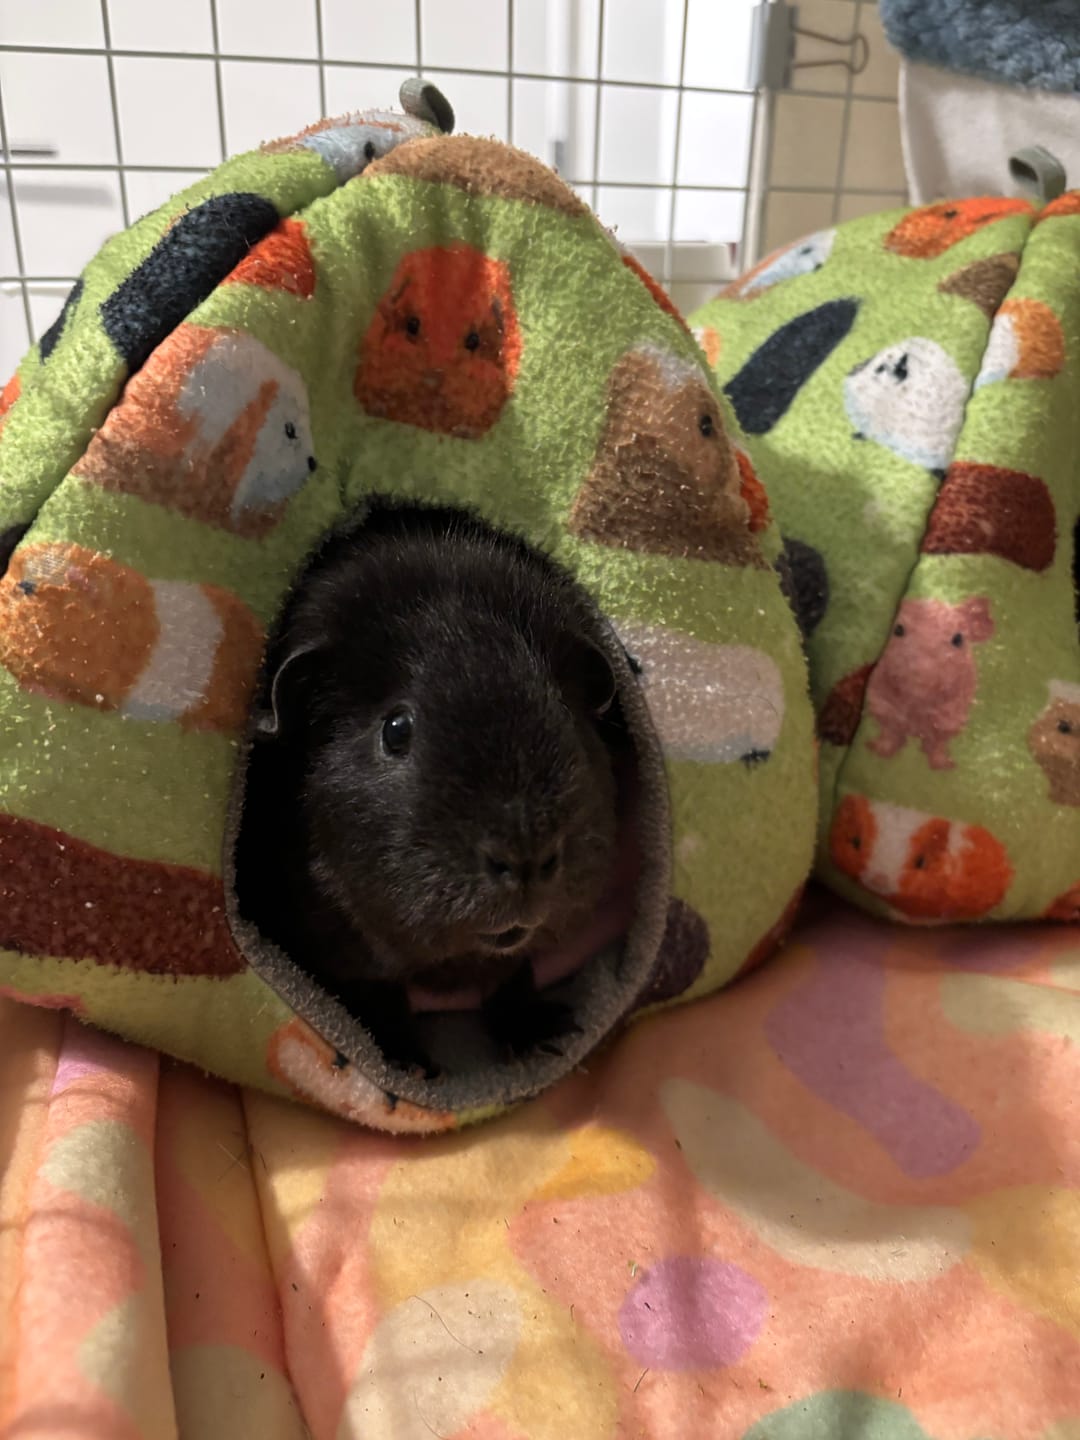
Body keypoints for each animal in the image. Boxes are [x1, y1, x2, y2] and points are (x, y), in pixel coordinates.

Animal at [866, 595, 994, 770]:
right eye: (898, 629)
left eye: (958, 639)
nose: (921, 677)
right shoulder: (881, 704)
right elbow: (890, 732)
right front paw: (876, 750)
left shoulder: (951, 719)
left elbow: (937, 744)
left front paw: (945, 766)